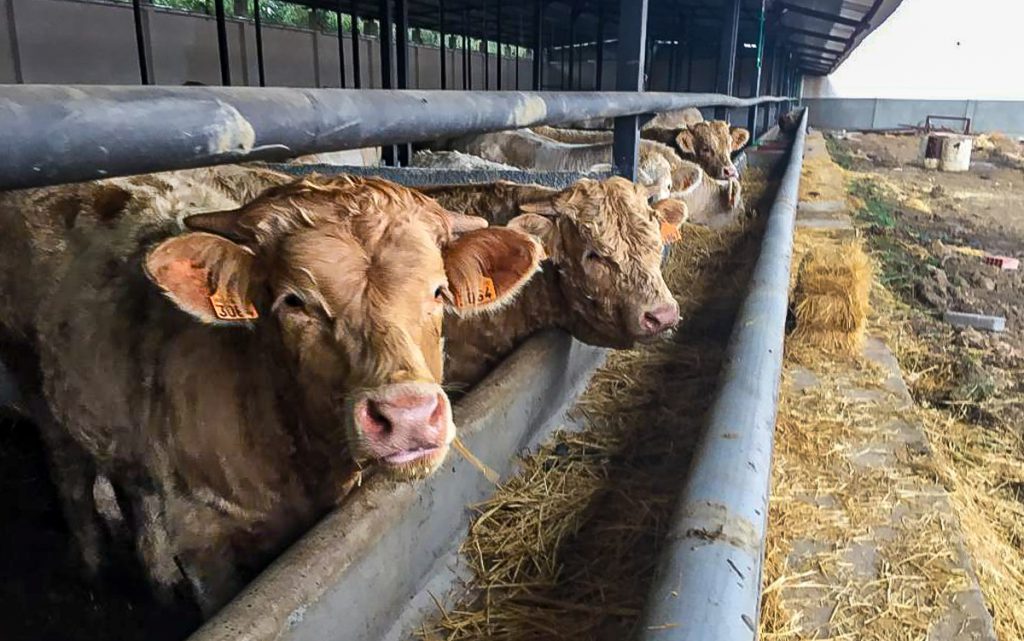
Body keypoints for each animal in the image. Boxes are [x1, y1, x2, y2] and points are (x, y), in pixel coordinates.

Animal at [0, 171, 543, 615]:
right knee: (70, 477)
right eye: (294, 301)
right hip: (36, 387)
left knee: (134, 487)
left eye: (437, 292)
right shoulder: (202, 536)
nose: (407, 415)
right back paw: (93, 569)